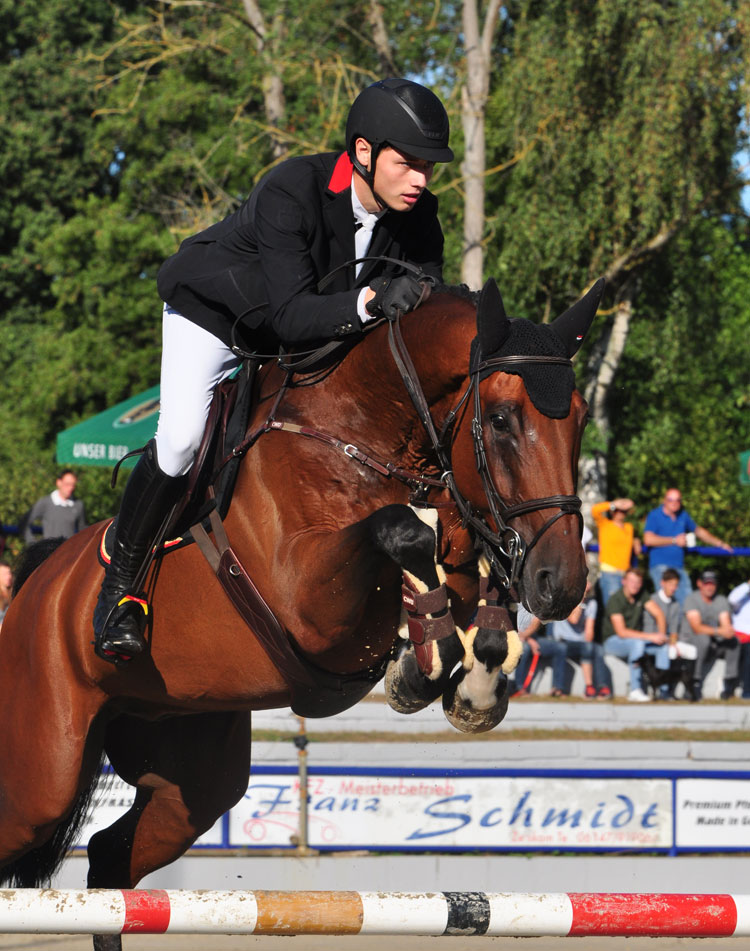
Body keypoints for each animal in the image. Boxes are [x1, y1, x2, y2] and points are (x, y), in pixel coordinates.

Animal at [0, 274, 604, 944]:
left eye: (580, 421)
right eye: (500, 420)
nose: (563, 584)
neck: (365, 429)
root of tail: (38, 582)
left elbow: (467, 557)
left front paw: (472, 680)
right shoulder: (308, 600)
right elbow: (403, 532)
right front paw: (423, 668)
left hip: (189, 775)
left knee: (111, 860)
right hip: (40, 778)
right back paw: (119, 621)